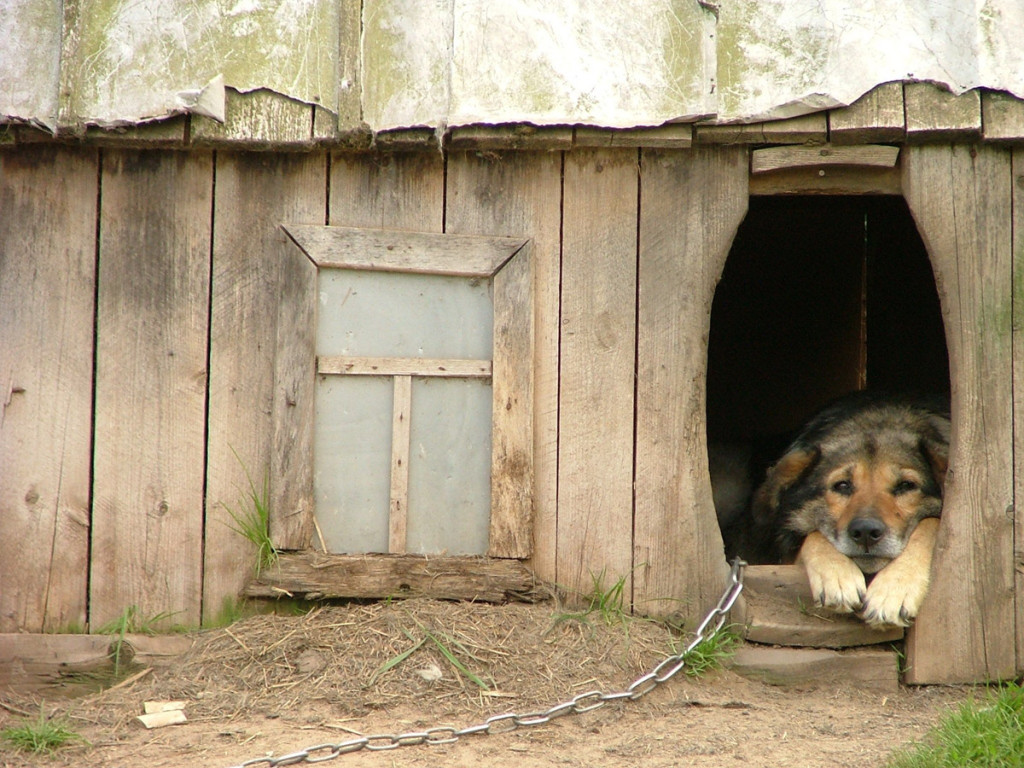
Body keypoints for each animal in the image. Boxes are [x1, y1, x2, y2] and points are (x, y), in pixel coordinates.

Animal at [745, 397, 950, 630]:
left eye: (906, 485)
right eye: (842, 485)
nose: (866, 533)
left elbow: (930, 524)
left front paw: (893, 590)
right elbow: (814, 535)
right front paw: (837, 575)